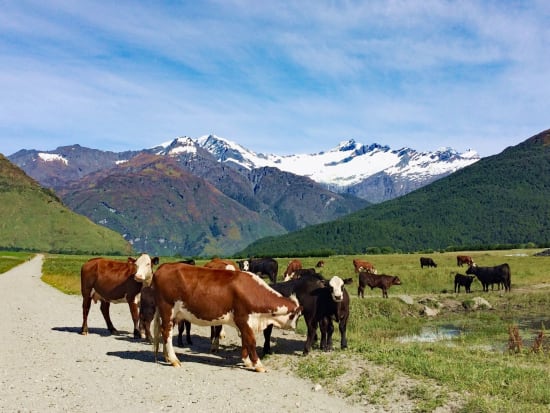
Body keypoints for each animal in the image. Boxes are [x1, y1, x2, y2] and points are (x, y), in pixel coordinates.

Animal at [150, 262, 302, 372]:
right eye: (298, 315)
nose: (295, 327)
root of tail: (164, 266)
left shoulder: (244, 323)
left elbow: (245, 341)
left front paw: (246, 361)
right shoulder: (243, 319)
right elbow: (251, 341)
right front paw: (258, 364)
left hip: (171, 314)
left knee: (164, 332)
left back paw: (167, 357)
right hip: (167, 309)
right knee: (167, 333)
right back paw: (174, 359)